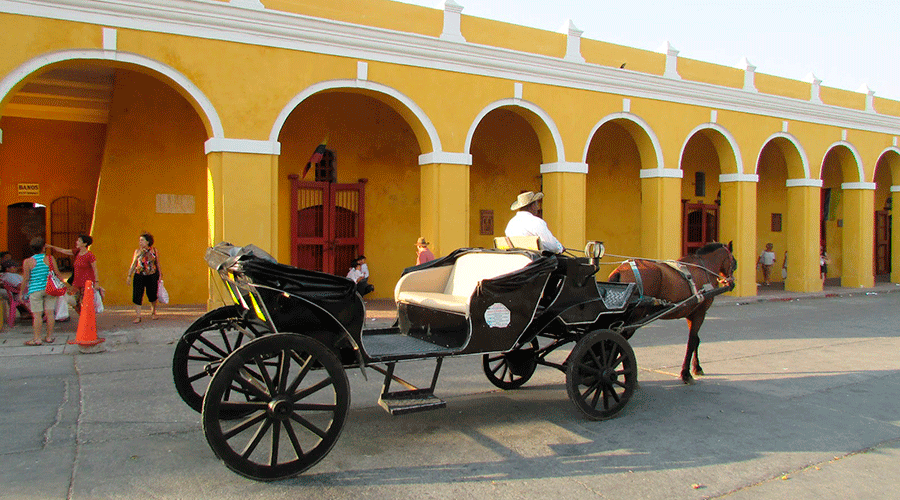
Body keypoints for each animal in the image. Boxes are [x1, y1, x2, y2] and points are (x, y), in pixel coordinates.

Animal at [608, 241, 736, 382]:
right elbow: (692, 341)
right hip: (635, 316)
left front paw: (696, 367)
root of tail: (620, 270)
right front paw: (686, 373)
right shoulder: (700, 313)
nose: (731, 283)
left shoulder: (691, 313)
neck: (703, 268)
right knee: (619, 340)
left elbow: (696, 340)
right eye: (734, 262)